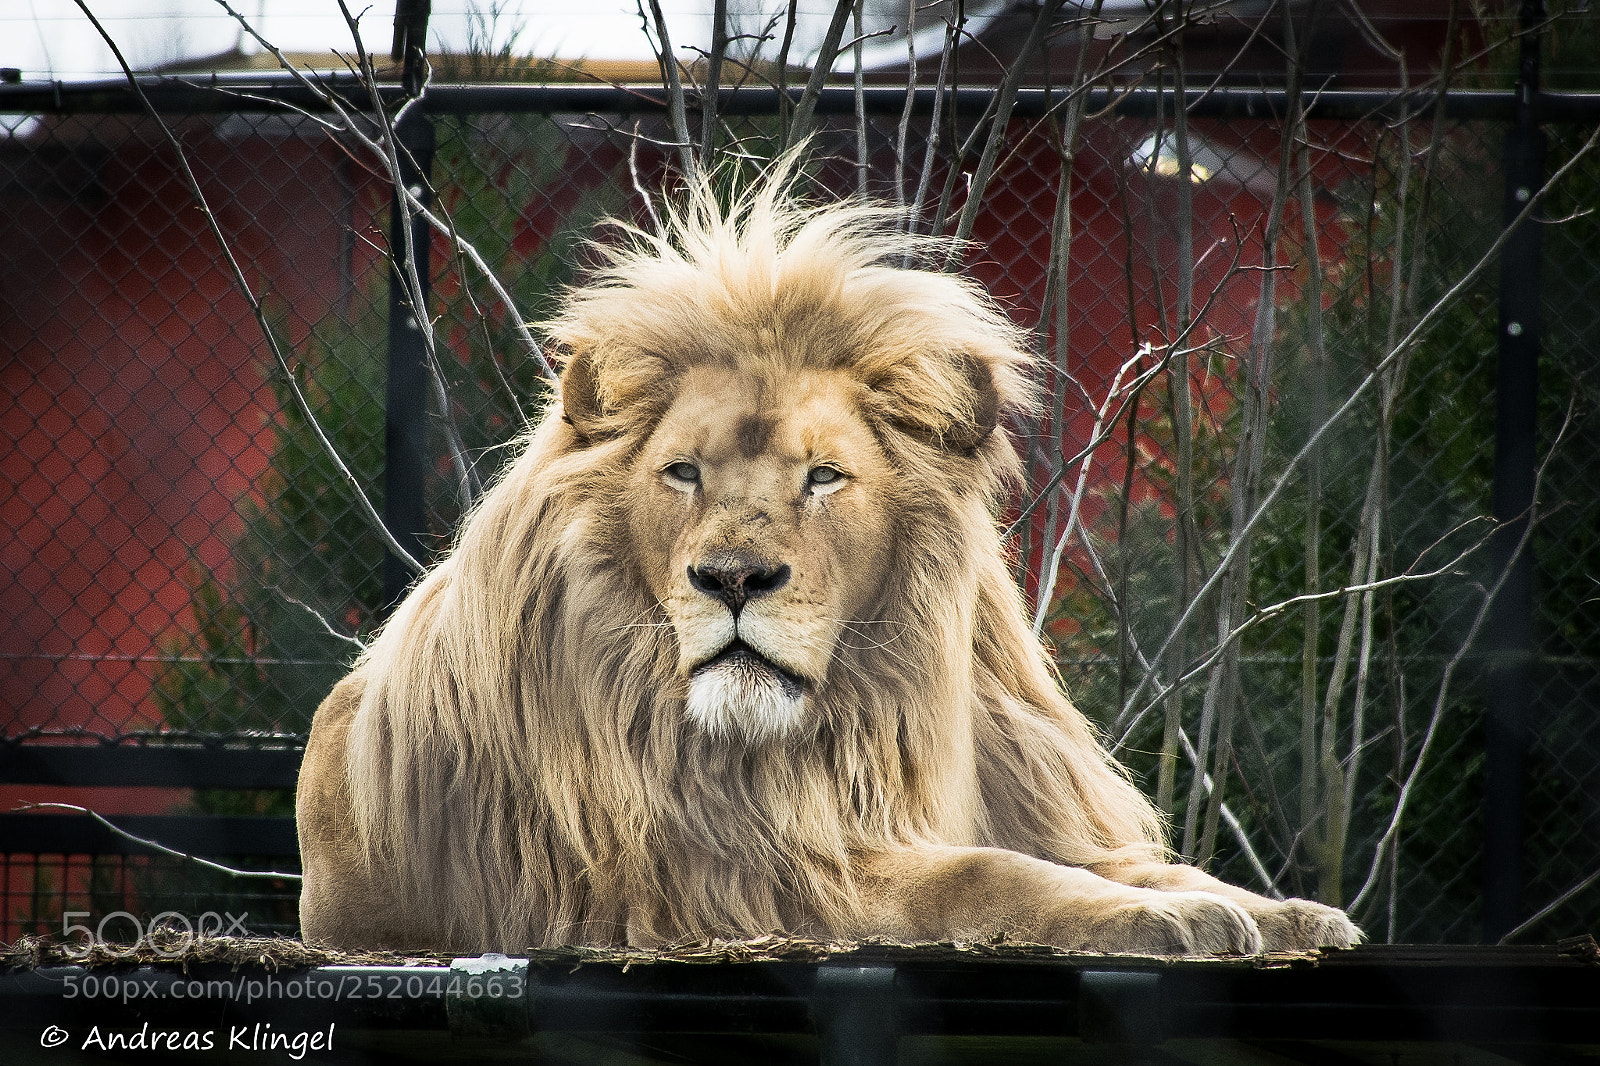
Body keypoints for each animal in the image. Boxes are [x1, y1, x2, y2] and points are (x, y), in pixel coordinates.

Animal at [296, 158, 1360, 956]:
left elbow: (1127, 860)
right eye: (682, 472)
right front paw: (1166, 917)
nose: (732, 580)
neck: (864, 709)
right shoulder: (764, 872)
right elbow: (989, 876)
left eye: (824, 477)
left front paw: (1280, 910)